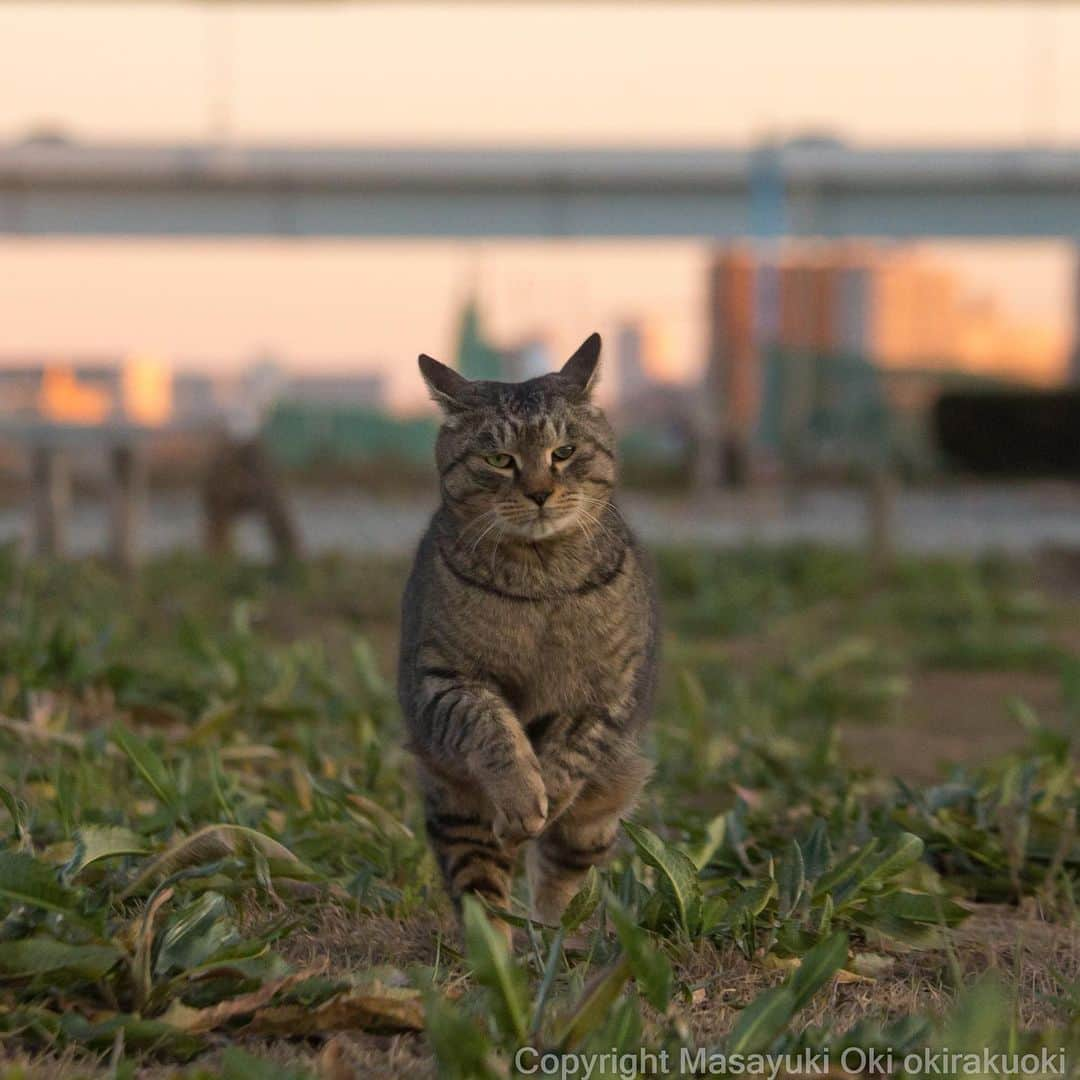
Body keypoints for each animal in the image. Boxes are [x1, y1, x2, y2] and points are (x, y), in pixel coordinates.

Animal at [399, 332, 656, 933]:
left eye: (563, 452)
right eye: (499, 459)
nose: (540, 492)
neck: (541, 580)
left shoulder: (607, 691)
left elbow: (571, 754)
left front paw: (547, 794)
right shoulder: (445, 679)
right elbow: (492, 729)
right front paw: (520, 795)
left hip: (599, 818)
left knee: (560, 882)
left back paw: (559, 937)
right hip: (455, 805)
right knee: (482, 885)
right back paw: (492, 945)